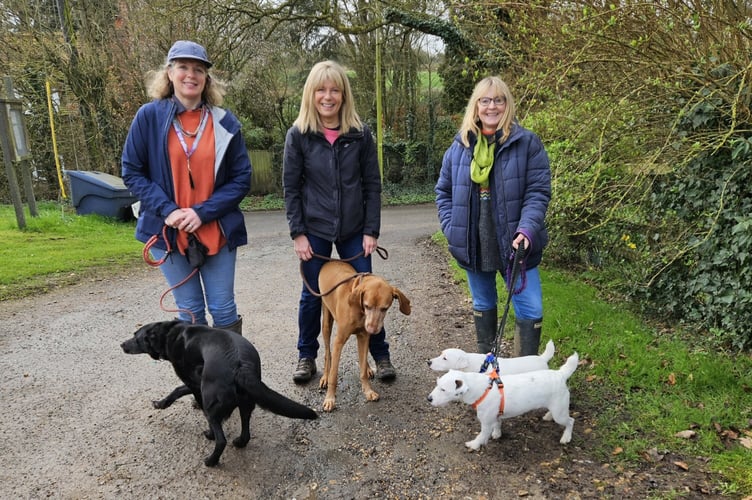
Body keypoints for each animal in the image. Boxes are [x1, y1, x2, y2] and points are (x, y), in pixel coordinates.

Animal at [318, 260, 412, 412]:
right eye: (367, 306)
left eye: (384, 308)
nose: (372, 329)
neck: (360, 311)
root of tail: (331, 260)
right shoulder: (339, 341)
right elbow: (334, 375)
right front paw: (330, 399)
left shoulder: (364, 337)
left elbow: (361, 369)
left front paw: (368, 391)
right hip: (326, 321)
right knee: (327, 353)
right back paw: (325, 376)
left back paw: (368, 368)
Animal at [426, 352, 580, 454]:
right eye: (437, 384)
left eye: (443, 389)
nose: (429, 398)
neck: (481, 388)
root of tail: (560, 374)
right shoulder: (496, 415)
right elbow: (498, 424)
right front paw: (497, 433)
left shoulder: (486, 422)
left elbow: (482, 435)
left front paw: (474, 444)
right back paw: (548, 416)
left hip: (560, 413)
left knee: (571, 421)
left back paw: (566, 437)